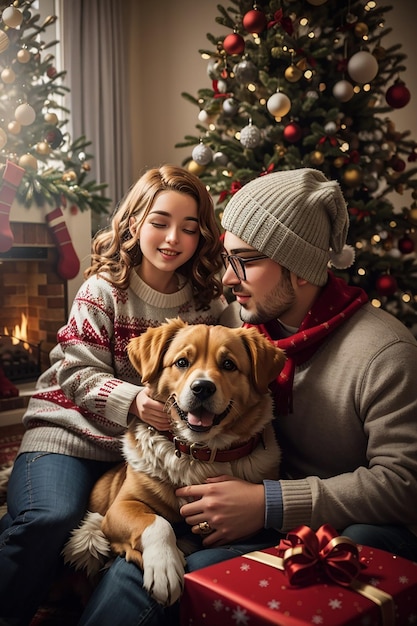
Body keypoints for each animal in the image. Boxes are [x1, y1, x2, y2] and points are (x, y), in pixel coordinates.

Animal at [63, 316, 284, 604]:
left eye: (228, 364)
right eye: (181, 362)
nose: (202, 388)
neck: (198, 452)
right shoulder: (120, 508)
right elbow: (158, 522)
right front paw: (165, 567)